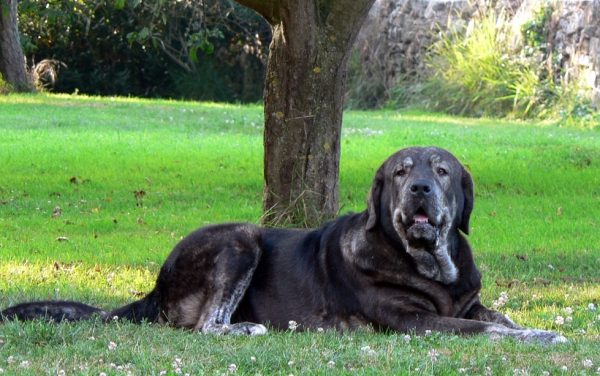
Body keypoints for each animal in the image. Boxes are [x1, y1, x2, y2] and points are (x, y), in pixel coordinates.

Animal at [0, 146, 564, 344]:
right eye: (402, 172)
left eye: (442, 171)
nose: (420, 188)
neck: (428, 264)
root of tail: (157, 286)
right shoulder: (414, 321)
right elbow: (481, 329)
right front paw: (541, 337)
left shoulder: (468, 302)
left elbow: (500, 317)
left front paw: (533, 328)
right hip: (242, 236)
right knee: (207, 326)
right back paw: (245, 327)